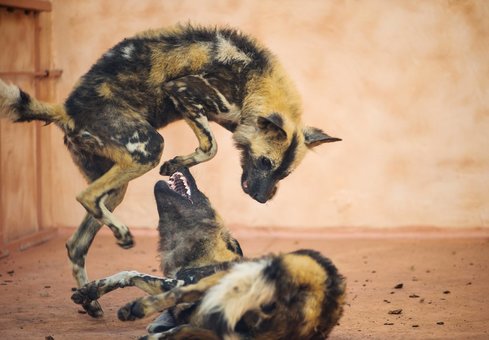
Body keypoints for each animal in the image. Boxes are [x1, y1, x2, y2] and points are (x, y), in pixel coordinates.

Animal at [0, 23, 340, 316]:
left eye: (283, 175)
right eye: (265, 163)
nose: (261, 198)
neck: (251, 81)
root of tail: (67, 111)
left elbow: (210, 145)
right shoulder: (182, 92)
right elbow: (211, 146)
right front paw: (177, 163)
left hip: (119, 184)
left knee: (77, 242)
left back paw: (90, 301)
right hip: (149, 147)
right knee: (85, 196)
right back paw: (121, 236)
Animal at [73, 168, 346, 340]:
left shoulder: (180, 280)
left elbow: (135, 275)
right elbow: (127, 275)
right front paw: (89, 292)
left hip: (221, 284)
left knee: (177, 300)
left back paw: (136, 309)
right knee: (177, 331)